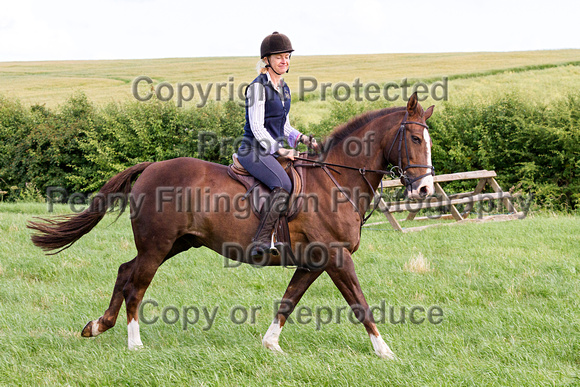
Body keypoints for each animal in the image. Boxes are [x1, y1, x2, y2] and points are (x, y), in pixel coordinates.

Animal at [29, 92, 432, 360]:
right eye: (414, 138)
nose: (425, 189)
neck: (335, 180)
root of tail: (151, 167)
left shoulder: (314, 262)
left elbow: (289, 300)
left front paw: (270, 344)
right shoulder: (336, 258)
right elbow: (360, 303)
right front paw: (385, 350)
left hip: (176, 243)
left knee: (124, 271)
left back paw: (98, 325)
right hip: (157, 246)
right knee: (136, 285)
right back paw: (134, 342)